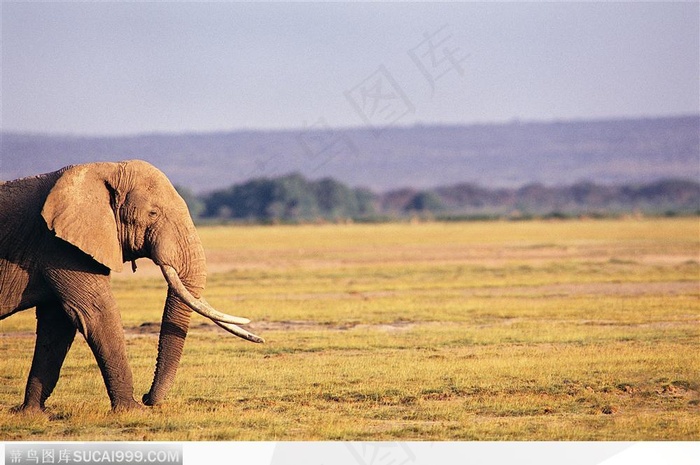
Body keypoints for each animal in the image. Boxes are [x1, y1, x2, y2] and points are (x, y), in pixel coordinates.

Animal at [0, 159, 262, 410]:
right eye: (153, 213)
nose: (147, 397)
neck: (103, 168)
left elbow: (58, 324)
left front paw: (33, 413)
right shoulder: (60, 247)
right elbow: (96, 314)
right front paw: (132, 410)